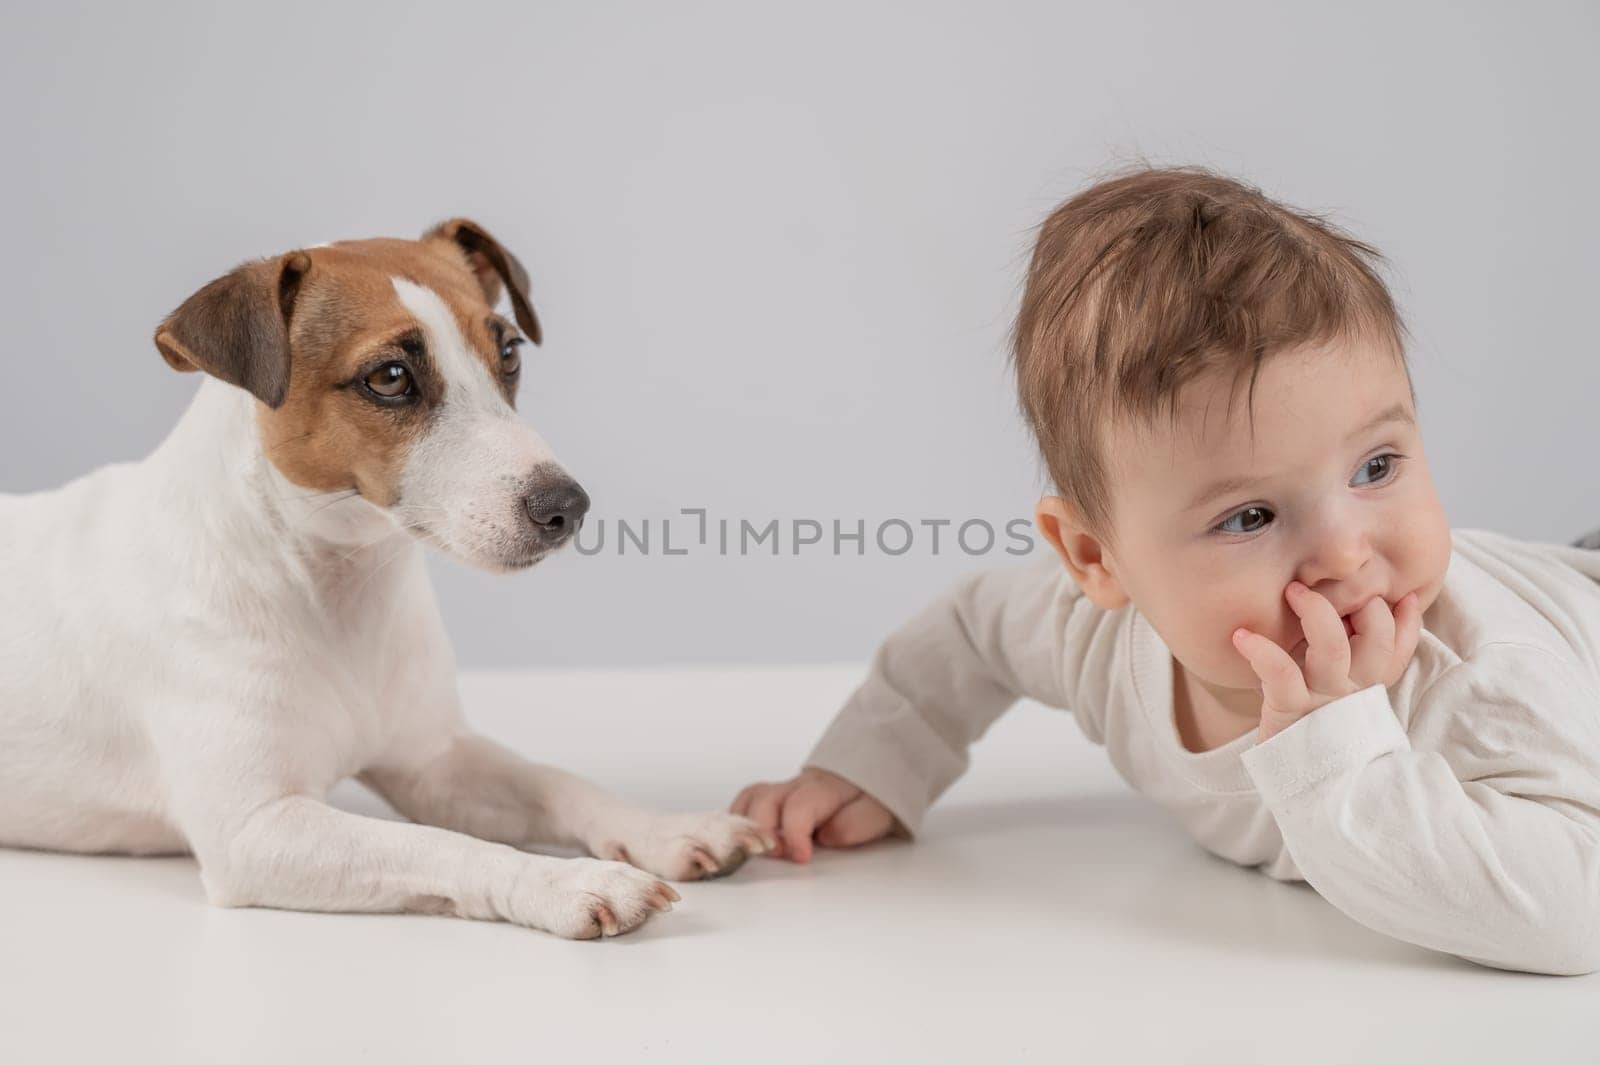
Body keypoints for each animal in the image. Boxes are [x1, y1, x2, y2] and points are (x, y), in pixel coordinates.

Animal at [0, 219, 774, 933]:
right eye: (390, 377)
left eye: (509, 353)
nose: (568, 506)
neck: (335, 589)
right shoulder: (255, 828)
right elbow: (442, 845)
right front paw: (570, 880)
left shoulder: (436, 763)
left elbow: (554, 782)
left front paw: (664, 828)